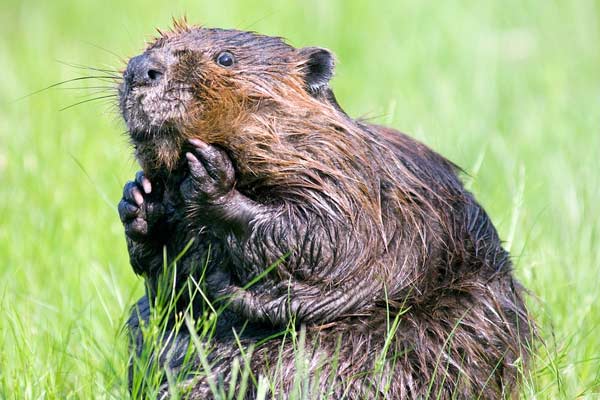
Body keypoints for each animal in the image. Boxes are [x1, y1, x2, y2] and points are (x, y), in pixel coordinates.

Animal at [117, 20, 536, 398]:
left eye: (225, 58)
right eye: (154, 44)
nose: (141, 67)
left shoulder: (353, 183)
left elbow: (324, 237)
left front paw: (211, 176)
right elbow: (172, 285)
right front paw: (140, 199)